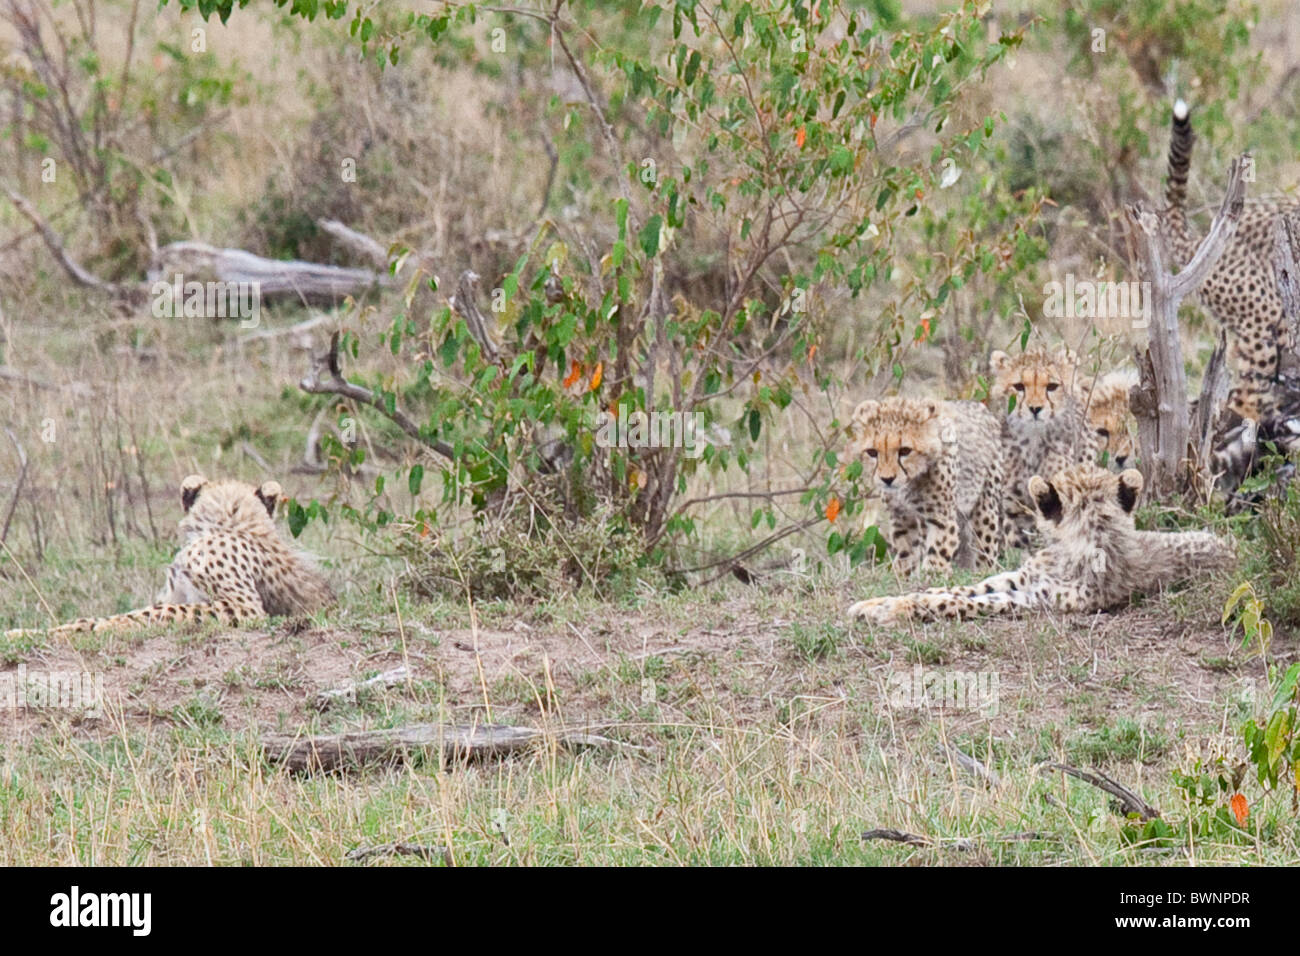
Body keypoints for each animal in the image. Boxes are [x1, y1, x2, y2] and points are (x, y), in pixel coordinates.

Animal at [7, 476, 332, 639]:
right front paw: (28, 632)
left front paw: (111, 627)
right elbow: (116, 613)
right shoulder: (174, 594)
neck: (231, 523)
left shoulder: (245, 607)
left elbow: (160, 612)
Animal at [847, 395, 998, 574]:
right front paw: (902, 574)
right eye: (872, 452)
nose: (887, 479)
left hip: (984, 505)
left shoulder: (942, 517)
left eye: (905, 451)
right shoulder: (903, 519)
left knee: (986, 547)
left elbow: (938, 553)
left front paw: (932, 574)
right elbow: (907, 553)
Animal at [847, 465, 1232, 629]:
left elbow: (960, 601)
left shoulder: (1033, 599)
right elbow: (954, 588)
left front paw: (897, 610)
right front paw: (879, 603)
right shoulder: (1020, 577)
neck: (1089, 537)